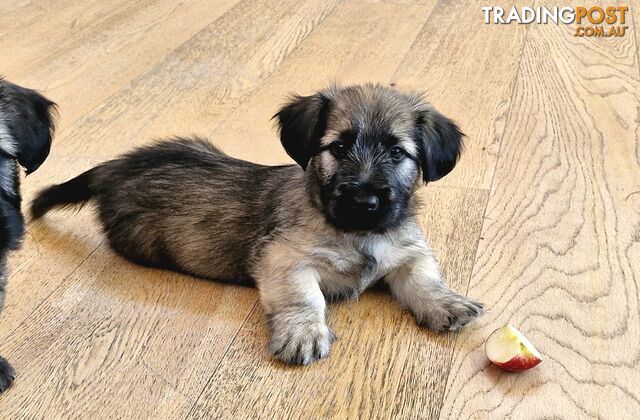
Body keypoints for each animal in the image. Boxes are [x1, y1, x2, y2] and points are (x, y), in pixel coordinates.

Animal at [30, 84, 480, 364]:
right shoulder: (283, 260)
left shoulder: (409, 252)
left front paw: (446, 304)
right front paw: (303, 333)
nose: (365, 201)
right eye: (338, 148)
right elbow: (305, 297)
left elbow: (424, 278)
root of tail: (115, 167)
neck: (357, 234)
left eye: (398, 152)